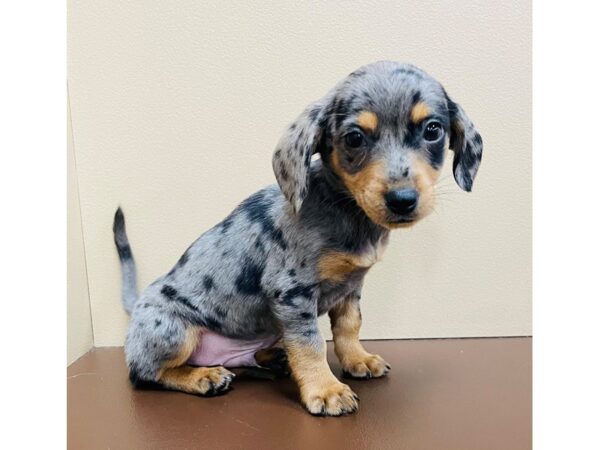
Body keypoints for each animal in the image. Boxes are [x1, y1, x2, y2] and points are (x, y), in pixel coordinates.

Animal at [113, 61, 482, 416]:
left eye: (432, 130)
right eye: (354, 138)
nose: (402, 200)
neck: (343, 208)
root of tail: (137, 306)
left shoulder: (351, 287)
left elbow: (349, 327)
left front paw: (357, 360)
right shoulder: (292, 292)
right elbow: (310, 345)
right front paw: (326, 390)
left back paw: (271, 358)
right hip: (175, 333)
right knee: (145, 373)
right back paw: (203, 376)